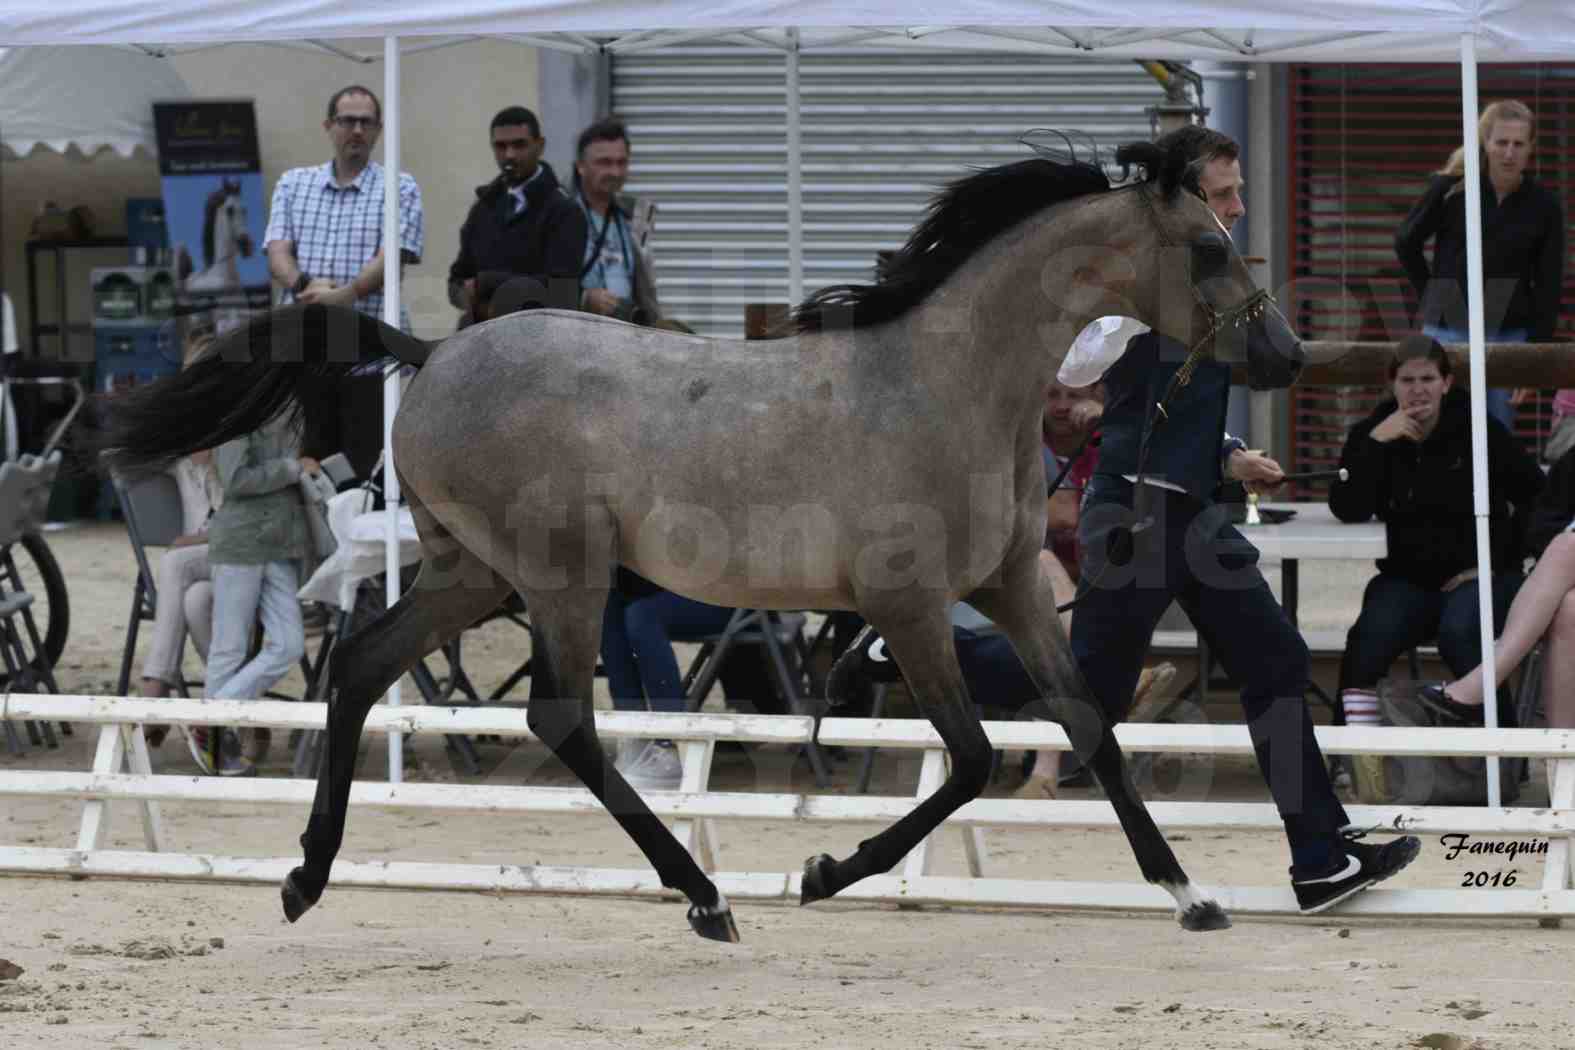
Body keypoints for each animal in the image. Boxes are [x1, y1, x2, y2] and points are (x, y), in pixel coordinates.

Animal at [101, 135, 1304, 950]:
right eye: (1206, 248)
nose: (1286, 355)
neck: (946, 384)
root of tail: (431, 354)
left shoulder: (1008, 590)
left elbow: (1091, 727)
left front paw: (1192, 896)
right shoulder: (907, 608)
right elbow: (970, 758)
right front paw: (821, 870)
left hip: (471, 573)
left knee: (356, 666)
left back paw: (306, 877)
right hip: (561, 576)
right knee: (558, 717)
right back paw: (707, 896)